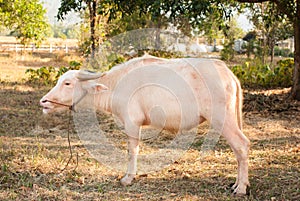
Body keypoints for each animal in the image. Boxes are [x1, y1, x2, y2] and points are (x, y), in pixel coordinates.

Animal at [40, 54, 251, 196]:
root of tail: (229, 75)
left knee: (241, 145)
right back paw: (237, 184)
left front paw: (127, 178)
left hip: (223, 118)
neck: (116, 85)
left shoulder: (132, 123)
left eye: (67, 83)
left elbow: (132, 150)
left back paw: (241, 188)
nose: (44, 101)